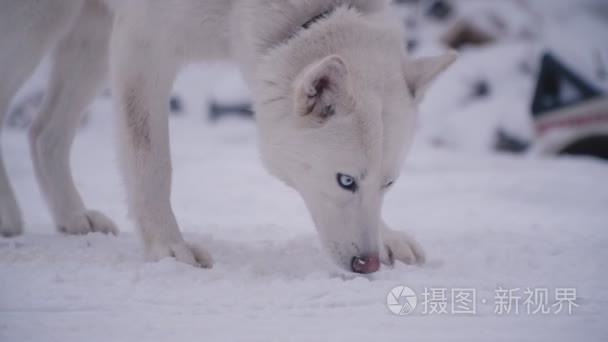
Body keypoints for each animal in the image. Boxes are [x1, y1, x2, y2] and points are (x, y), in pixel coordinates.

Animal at [1, 0, 456, 272]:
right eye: (345, 181)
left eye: (389, 184)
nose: (369, 264)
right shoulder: (145, 42)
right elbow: (151, 161)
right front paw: (168, 249)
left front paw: (390, 236)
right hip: (35, 24)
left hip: (90, 36)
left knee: (43, 132)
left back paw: (73, 217)